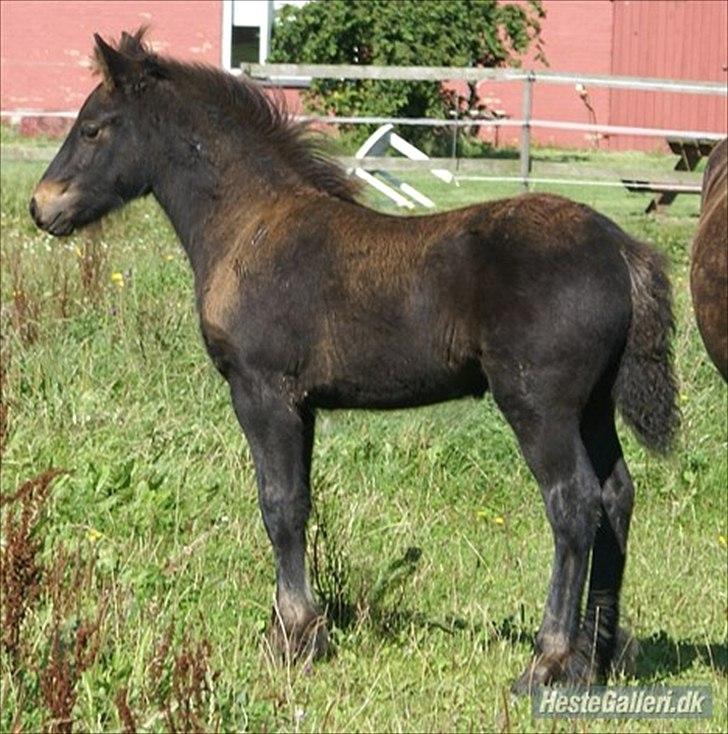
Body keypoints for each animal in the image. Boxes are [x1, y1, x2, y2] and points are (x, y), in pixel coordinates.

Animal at [29, 30, 679, 693]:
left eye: (92, 128)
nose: (41, 206)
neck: (250, 226)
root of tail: (621, 249)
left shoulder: (261, 391)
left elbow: (279, 504)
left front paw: (295, 637)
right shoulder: (303, 405)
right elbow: (301, 500)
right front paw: (295, 628)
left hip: (539, 405)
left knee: (574, 503)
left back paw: (547, 661)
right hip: (592, 405)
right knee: (617, 496)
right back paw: (594, 658)